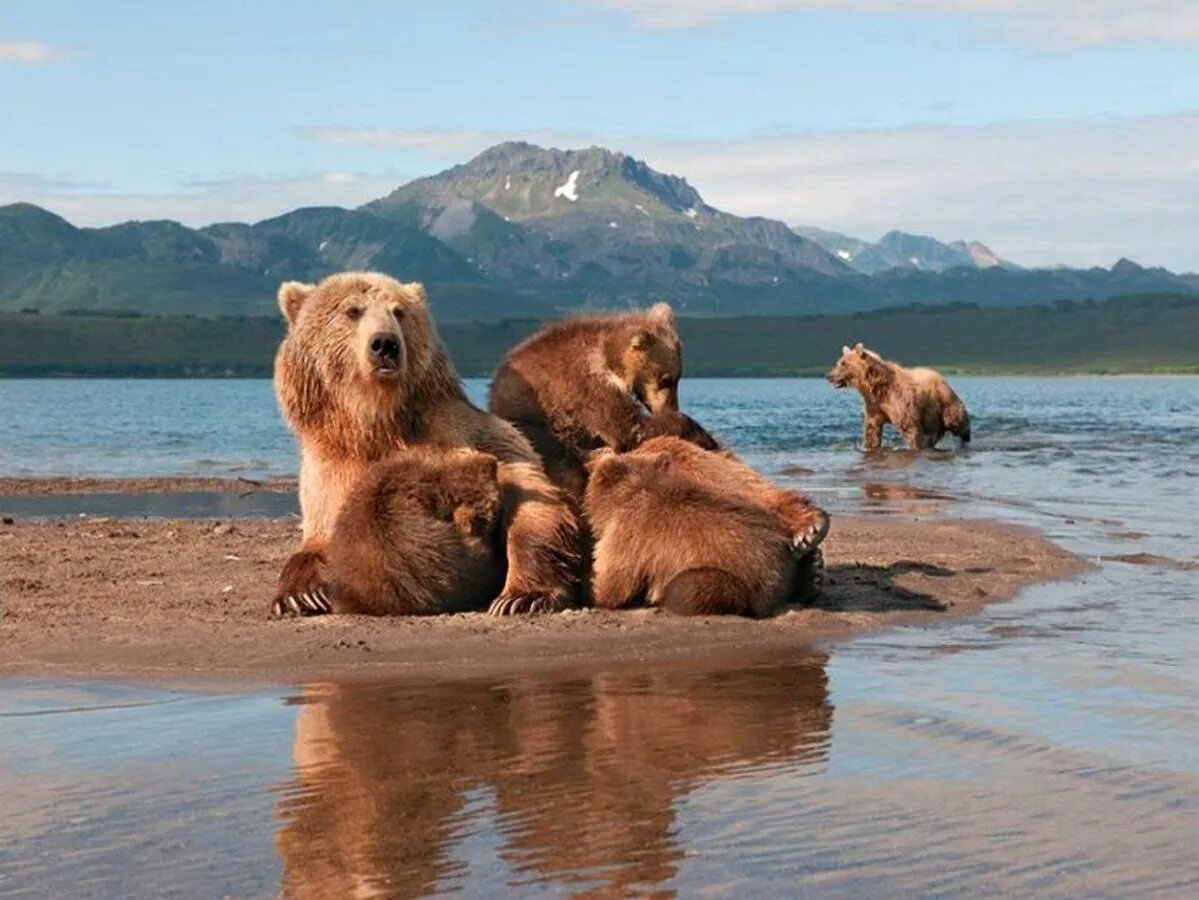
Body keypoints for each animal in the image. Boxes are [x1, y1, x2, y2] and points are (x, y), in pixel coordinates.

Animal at [829, 340, 968, 450]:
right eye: (838, 362)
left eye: (844, 363)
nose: (829, 376)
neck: (875, 386)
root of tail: (942, 378)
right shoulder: (874, 404)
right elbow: (872, 429)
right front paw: (868, 446)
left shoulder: (899, 401)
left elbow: (909, 426)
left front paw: (916, 445)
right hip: (930, 413)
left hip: (943, 401)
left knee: (955, 420)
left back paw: (965, 438)